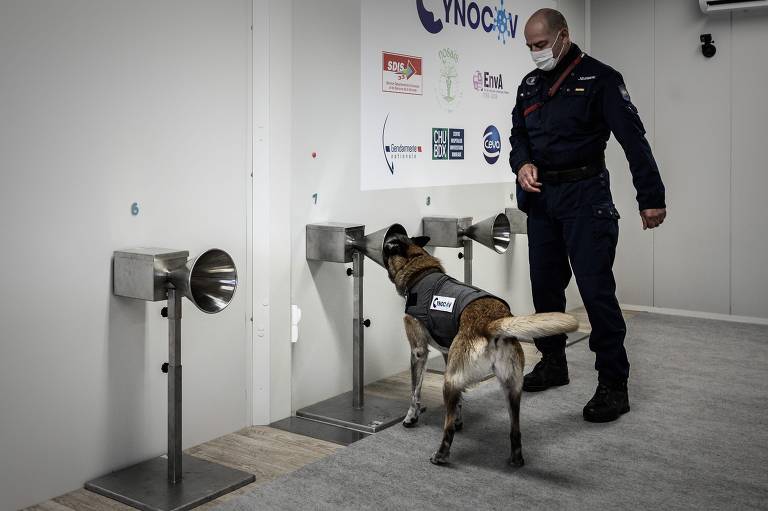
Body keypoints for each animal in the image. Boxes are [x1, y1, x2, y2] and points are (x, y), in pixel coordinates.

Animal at [380, 236, 580, 468]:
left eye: (386, 247)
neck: (418, 266)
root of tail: (492, 322)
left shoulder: (419, 352)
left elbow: (415, 392)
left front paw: (411, 418)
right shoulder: (448, 355)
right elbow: (459, 402)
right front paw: (459, 419)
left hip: (449, 382)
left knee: (447, 430)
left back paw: (441, 456)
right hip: (511, 388)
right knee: (515, 430)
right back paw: (516, 459)